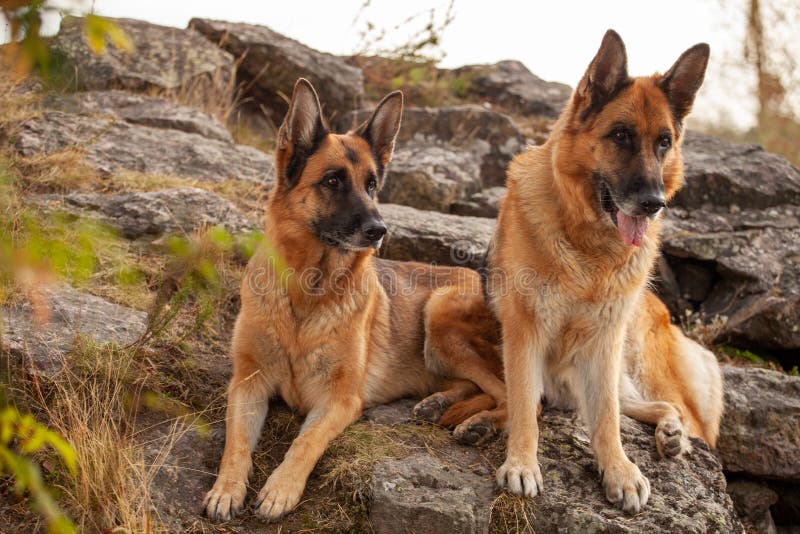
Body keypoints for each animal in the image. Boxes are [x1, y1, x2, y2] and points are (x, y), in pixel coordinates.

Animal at [203, 80, 504, 524]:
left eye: (372, 184)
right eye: (332, 181)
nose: (380, 230)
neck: (307, 293)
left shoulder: (339, 401)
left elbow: (305, 442)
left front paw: (280, 489)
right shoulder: (248, 384)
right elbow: (235, 443)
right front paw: (225, 490)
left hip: (440, 311)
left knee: (520, 399)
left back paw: (481, 424)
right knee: (477, 386)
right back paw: (438, 404)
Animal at [488, 30, 724, 516]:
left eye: (663, 142)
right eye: (620, 135)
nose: (654, 203)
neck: (589, 249)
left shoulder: (603, 343)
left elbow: (606, 420)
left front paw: (618, 470)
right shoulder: (524, 331)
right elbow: (523, 408)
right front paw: (521, 464)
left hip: (619, 361)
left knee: (649, 405)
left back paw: (671, 433)